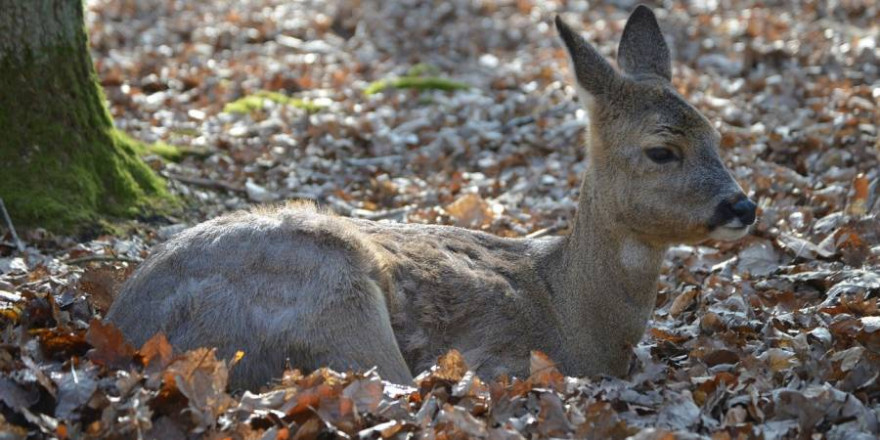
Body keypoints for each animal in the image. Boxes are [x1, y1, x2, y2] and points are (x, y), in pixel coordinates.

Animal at [108, 5, 756, 390]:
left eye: (719, 135)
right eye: (661, 151)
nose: (743, 207)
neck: (573, 319)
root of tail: (124, 326)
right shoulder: (499, 356)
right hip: (337, 306)